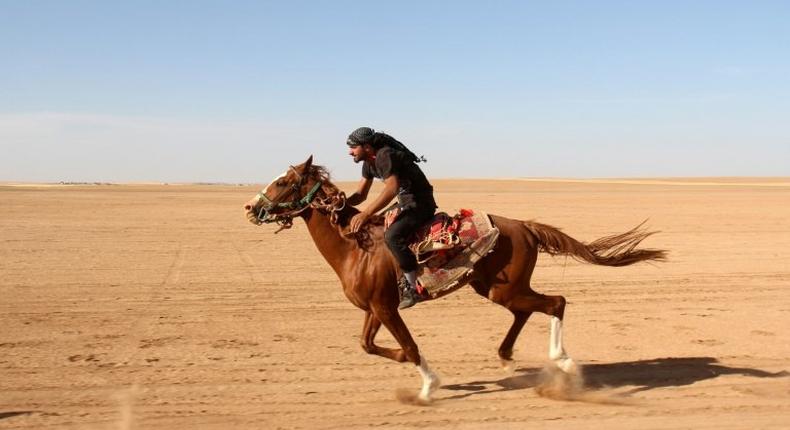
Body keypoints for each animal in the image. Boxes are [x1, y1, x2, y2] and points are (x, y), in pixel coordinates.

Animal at [241, 155, 668, 404]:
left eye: (283, 182)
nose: (249, 206)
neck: (354, 246)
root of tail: (525, 226)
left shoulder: (386, 307)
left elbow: (409, 346)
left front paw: (429, 385)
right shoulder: (375, 308)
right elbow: (368, 345)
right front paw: (416, 370)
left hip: (505, 287)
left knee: (556, 302)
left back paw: (563, 363)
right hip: (497, 287)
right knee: (528, 310)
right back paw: (507, 356)